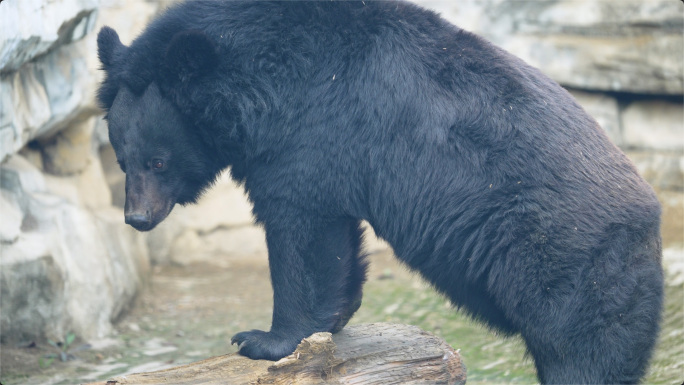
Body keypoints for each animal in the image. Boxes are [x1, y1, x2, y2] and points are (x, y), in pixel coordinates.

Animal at [96, 1, 664, 382]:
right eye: (122, 161)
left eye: (159, 161)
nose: (137, 218)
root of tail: (650, 218)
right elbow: (334, 240)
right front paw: (330, 323)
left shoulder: (310, 126)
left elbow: (300, 225)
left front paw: (263, 341)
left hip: (566, 267)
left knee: (582, 354)